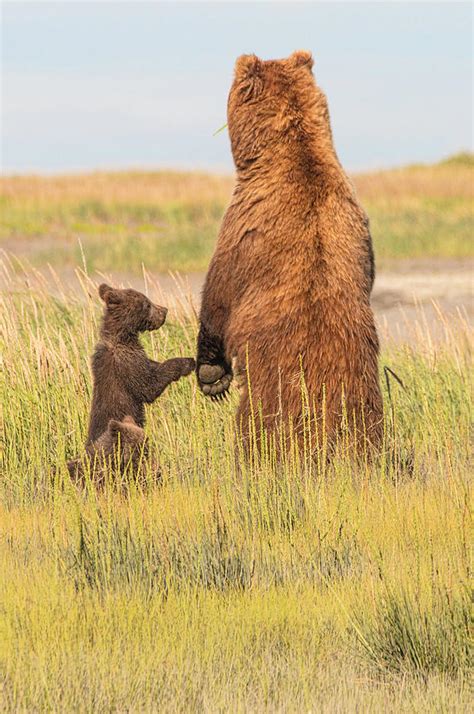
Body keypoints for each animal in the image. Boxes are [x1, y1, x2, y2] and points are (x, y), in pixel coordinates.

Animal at [66, 286, 194, 482]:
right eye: (147, 303)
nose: (164, 310)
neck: (122, 337)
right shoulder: (126, 363)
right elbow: (148, 386)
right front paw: (187, 362)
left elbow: (151, 367)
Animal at [196, 50, 386, 454]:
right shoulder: (359, 226)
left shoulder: (243, 229)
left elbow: (217, 297)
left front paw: (211, 374)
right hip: (364, 405)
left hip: (267, 400)